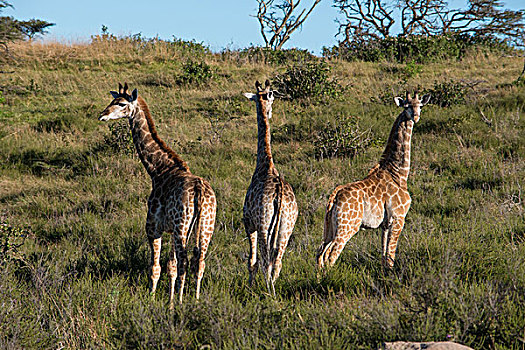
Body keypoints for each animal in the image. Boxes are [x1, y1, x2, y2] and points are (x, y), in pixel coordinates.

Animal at [98, 82, 215, 306]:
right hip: (205, 226)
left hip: (181, 226)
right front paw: (169, 300)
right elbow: (170, 266)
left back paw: (181, 301)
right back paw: (195, 300)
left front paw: (153, 298)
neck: (158, 169)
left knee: (185, 261)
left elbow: (156, 267)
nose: (102, 115)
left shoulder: (153, 227)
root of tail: (199, 191)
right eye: (111, 100)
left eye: (122, 103)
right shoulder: (170, 229)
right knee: (200, 261)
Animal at [316, 91, 430, 270]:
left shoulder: (385, 224)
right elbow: (391, 254)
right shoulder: (399, 218)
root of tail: (334, 197)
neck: (398, 173)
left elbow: (384, 254)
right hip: (347, 226)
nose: (416, 116)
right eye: (406, 106)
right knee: (331, 255)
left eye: (420, 105)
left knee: (320, 253)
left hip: (329, 227)